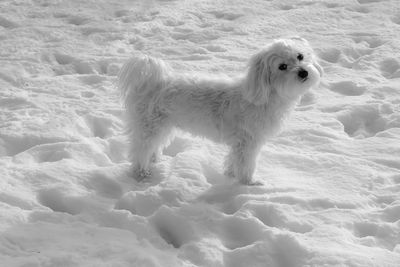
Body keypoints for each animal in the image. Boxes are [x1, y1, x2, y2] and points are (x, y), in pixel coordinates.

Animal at [118, 37, 322, 185]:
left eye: (300, 56)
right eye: (282, 66)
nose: (303, 72)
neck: (264, 95)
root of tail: (151, 82)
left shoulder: (239, 143)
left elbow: (233, 160)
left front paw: (230, 174)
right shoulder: (248, 142)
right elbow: (246, 164)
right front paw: (249, 183)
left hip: (163, 126)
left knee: (151, 146)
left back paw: (154, 160)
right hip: (149, 125)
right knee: (139, 150)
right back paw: (141, 173)